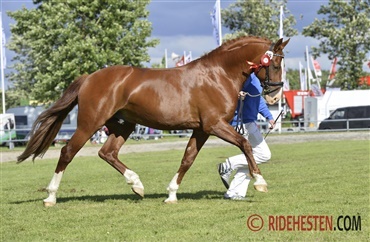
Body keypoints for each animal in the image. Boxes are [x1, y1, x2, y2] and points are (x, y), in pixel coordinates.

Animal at [17, 36, 290, 206]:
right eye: (275, 63)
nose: (275, 95)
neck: (217, 75)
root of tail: (89, 77)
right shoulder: (215, 125)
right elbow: (244, 144)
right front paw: (260, 182)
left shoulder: (201, 130)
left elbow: (187, 159)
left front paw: (171, 194)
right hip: (90, 124)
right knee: (67, 152)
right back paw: (50, 197)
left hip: (123, 126)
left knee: (108, 153)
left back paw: (137, 184)